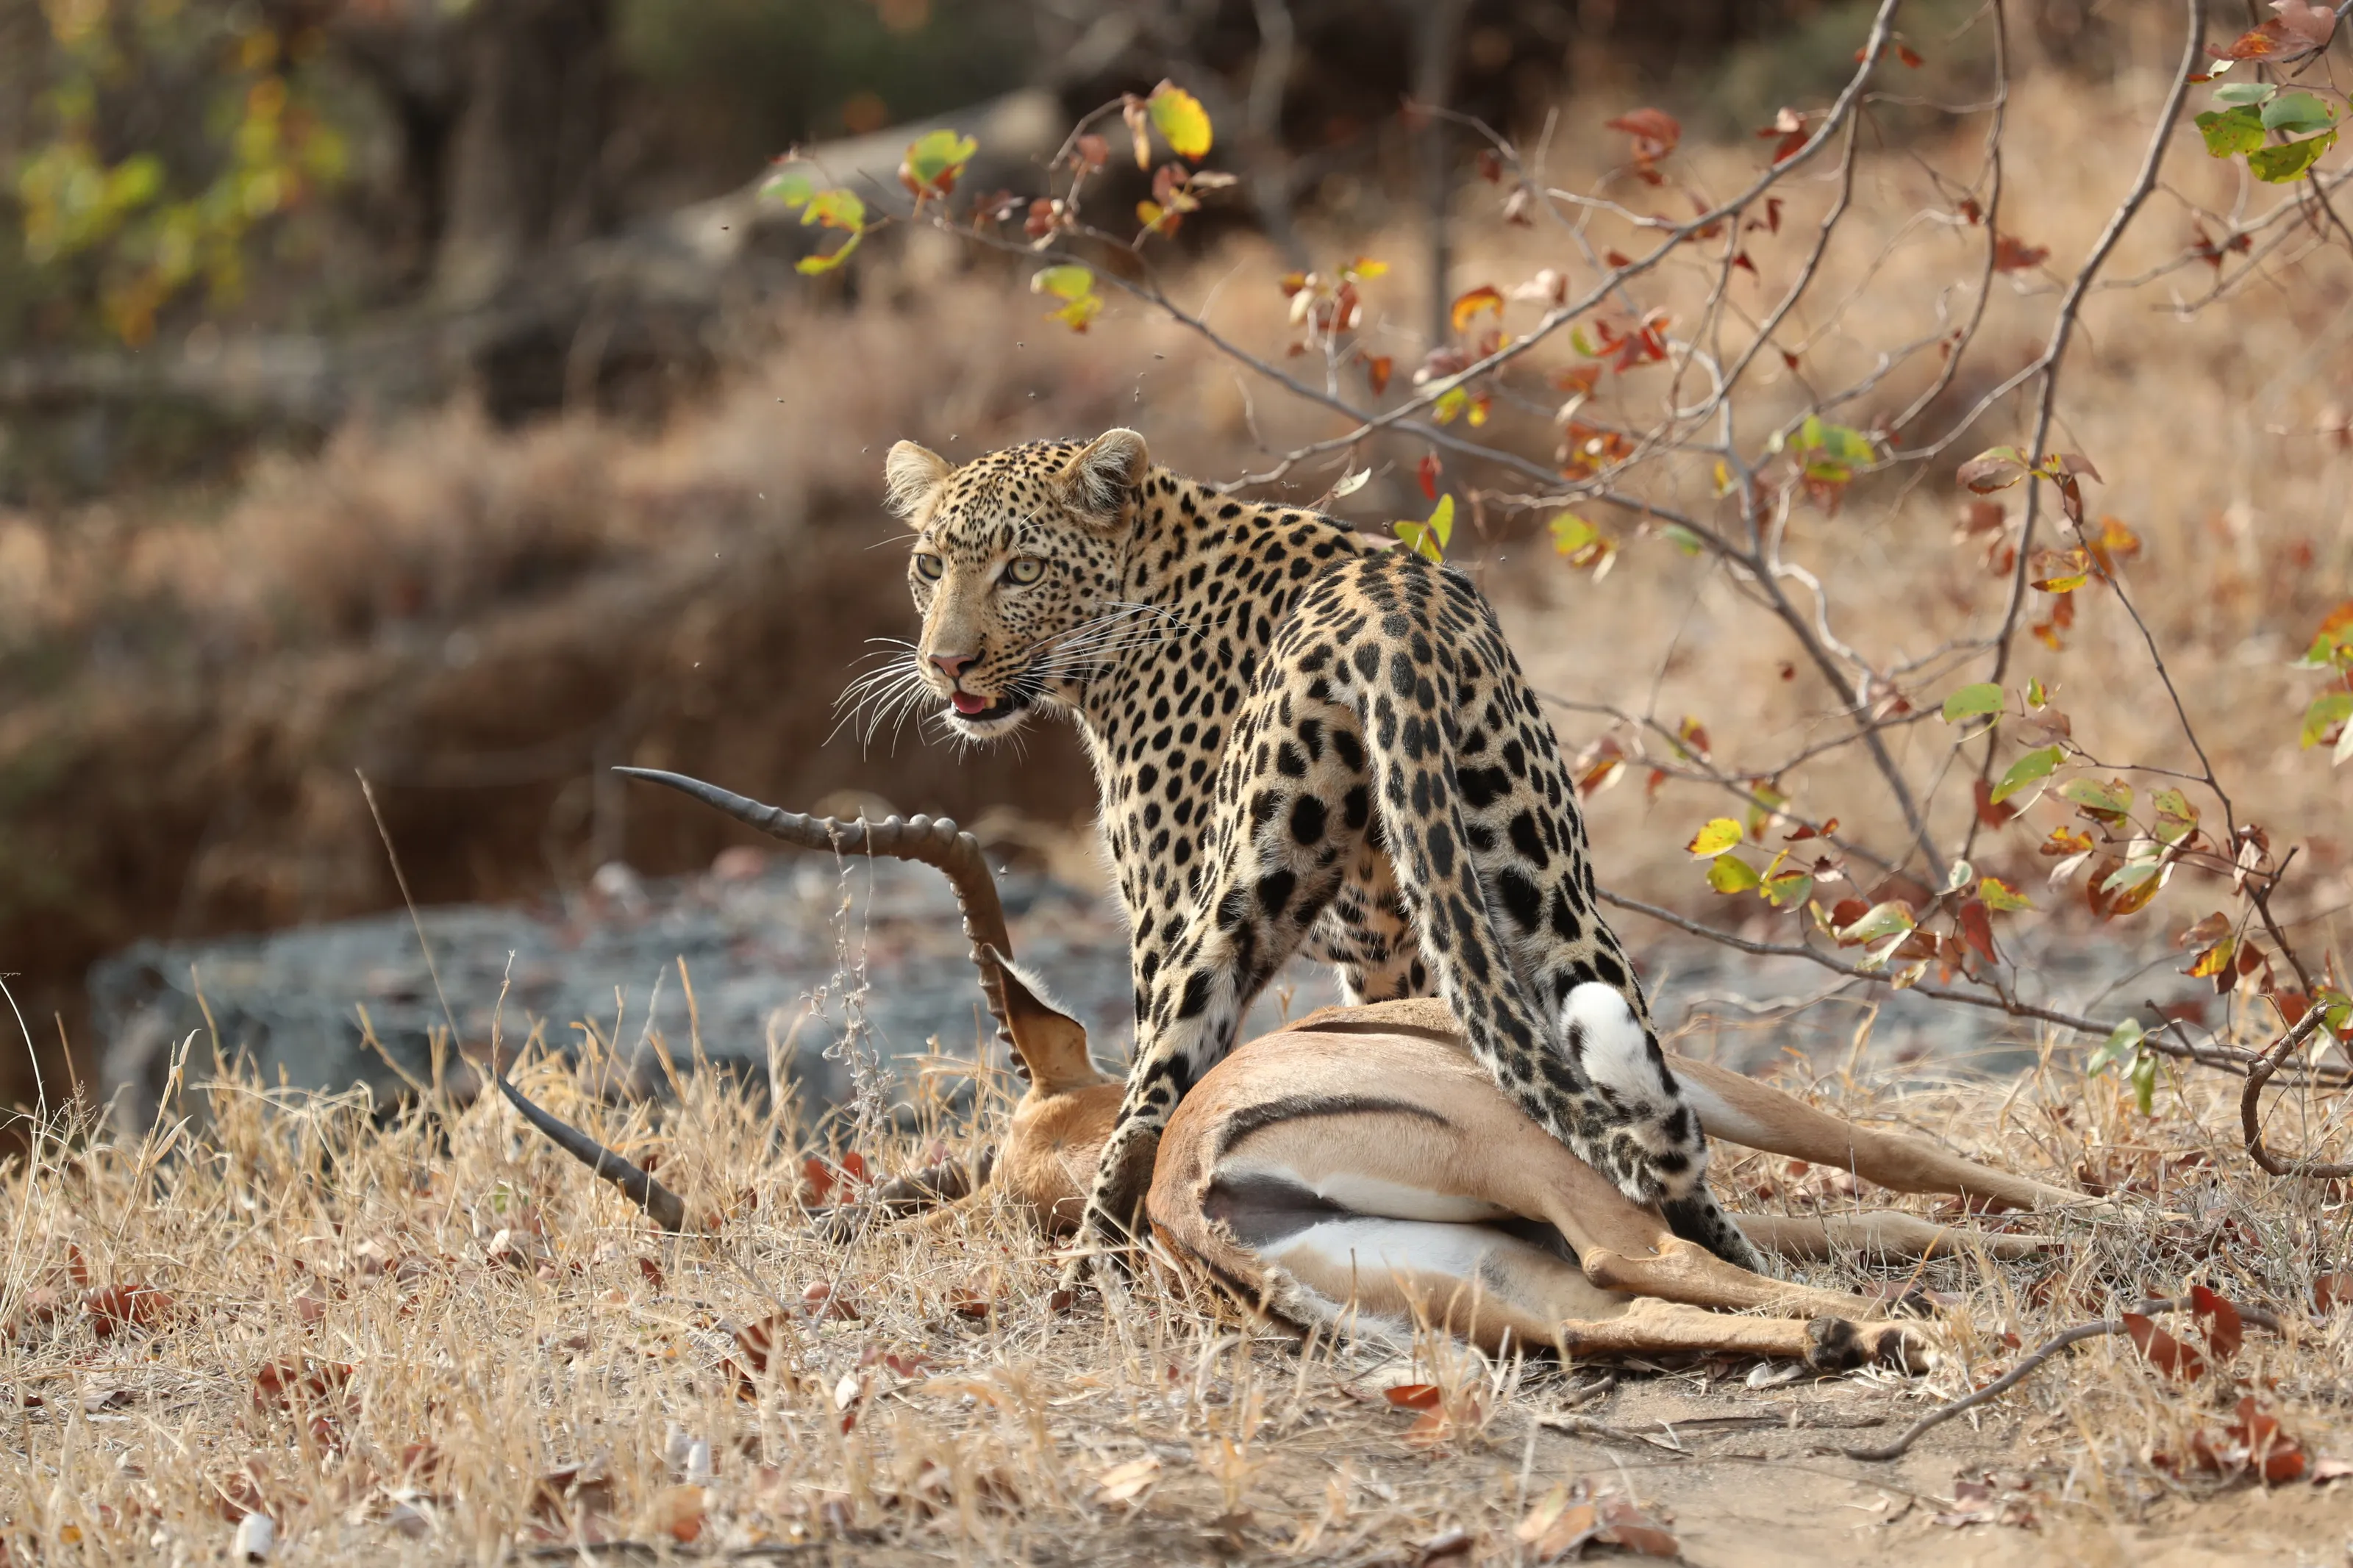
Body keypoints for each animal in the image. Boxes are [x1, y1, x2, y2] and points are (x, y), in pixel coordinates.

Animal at [866, 426, 1765, 1275]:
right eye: (929, 566)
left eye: (1021, 571)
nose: (946, 664)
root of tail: (1395, 613)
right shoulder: (1385, 952)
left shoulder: (1161, 908)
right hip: (1545, 891)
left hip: (1226, 905)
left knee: (1150, 1101)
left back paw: (1092, 1271)